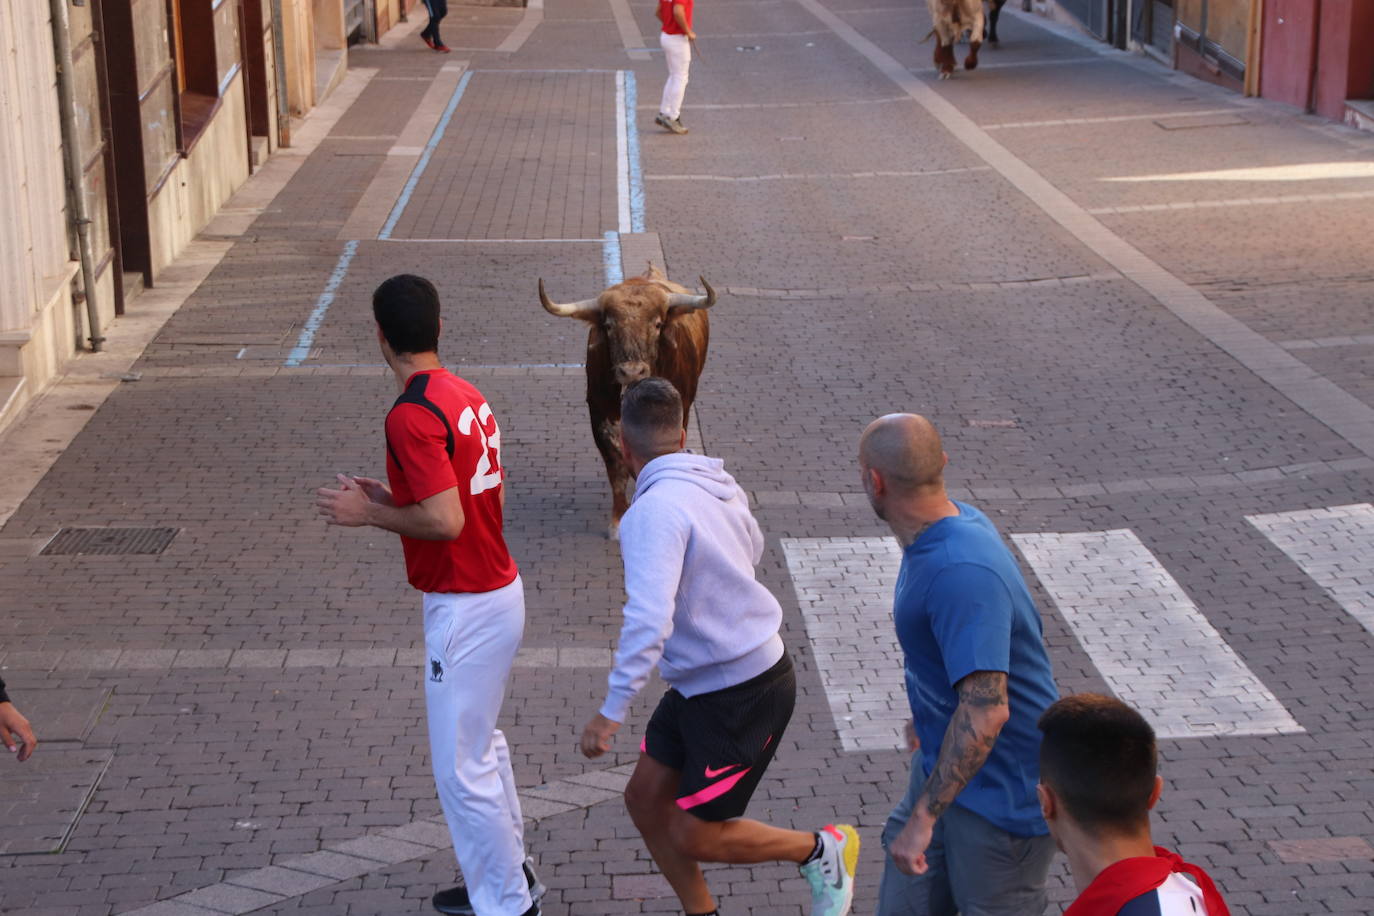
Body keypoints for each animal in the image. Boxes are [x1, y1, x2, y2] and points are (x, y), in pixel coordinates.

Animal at [533, 263, 714, 538]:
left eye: (658, 324)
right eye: (609, 326)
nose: (631, 371)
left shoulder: (679, 411)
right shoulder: (600, 414)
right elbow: (615, 466)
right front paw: (617, 520)